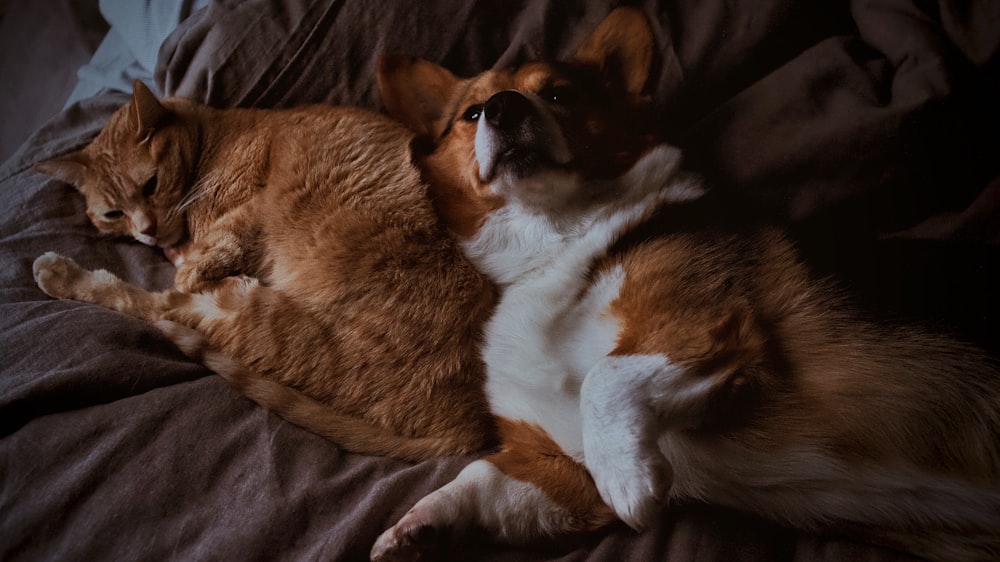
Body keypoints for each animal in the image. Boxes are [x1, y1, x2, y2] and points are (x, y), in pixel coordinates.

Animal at [34, 83, 496, 460]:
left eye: (151, 184)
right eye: (113, 214)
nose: (146, 231)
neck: (212, 140)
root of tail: (470, 424)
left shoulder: (252, 207)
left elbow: (202, 261)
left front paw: (187, 259)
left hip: (254, 316)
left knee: (152, 302)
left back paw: (59, 272)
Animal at [372, 5, 1000, 560]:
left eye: (557, 94)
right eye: (472, 113)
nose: (503, 108)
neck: (552, 246)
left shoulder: (701, 327)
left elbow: (606, 375)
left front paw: (629, 480)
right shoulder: (558, 468)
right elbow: (481, 479)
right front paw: (417, 526)